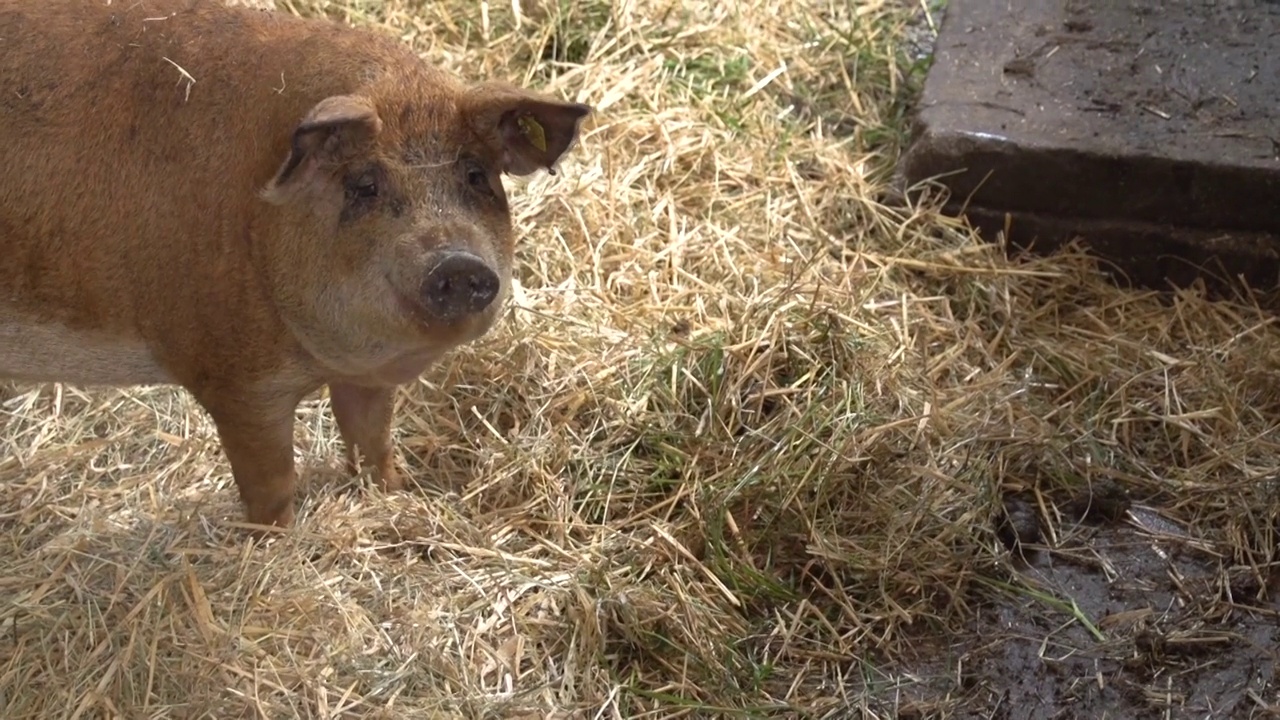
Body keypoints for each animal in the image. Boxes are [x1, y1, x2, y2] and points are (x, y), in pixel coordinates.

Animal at [0, 0, 588, 527]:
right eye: (365, 185)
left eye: (475, 175)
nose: (458, 263)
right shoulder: (231, 378)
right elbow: (272, 484)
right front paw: (275, 542)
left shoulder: (364, 377)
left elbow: (372, 441)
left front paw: (398, 497)